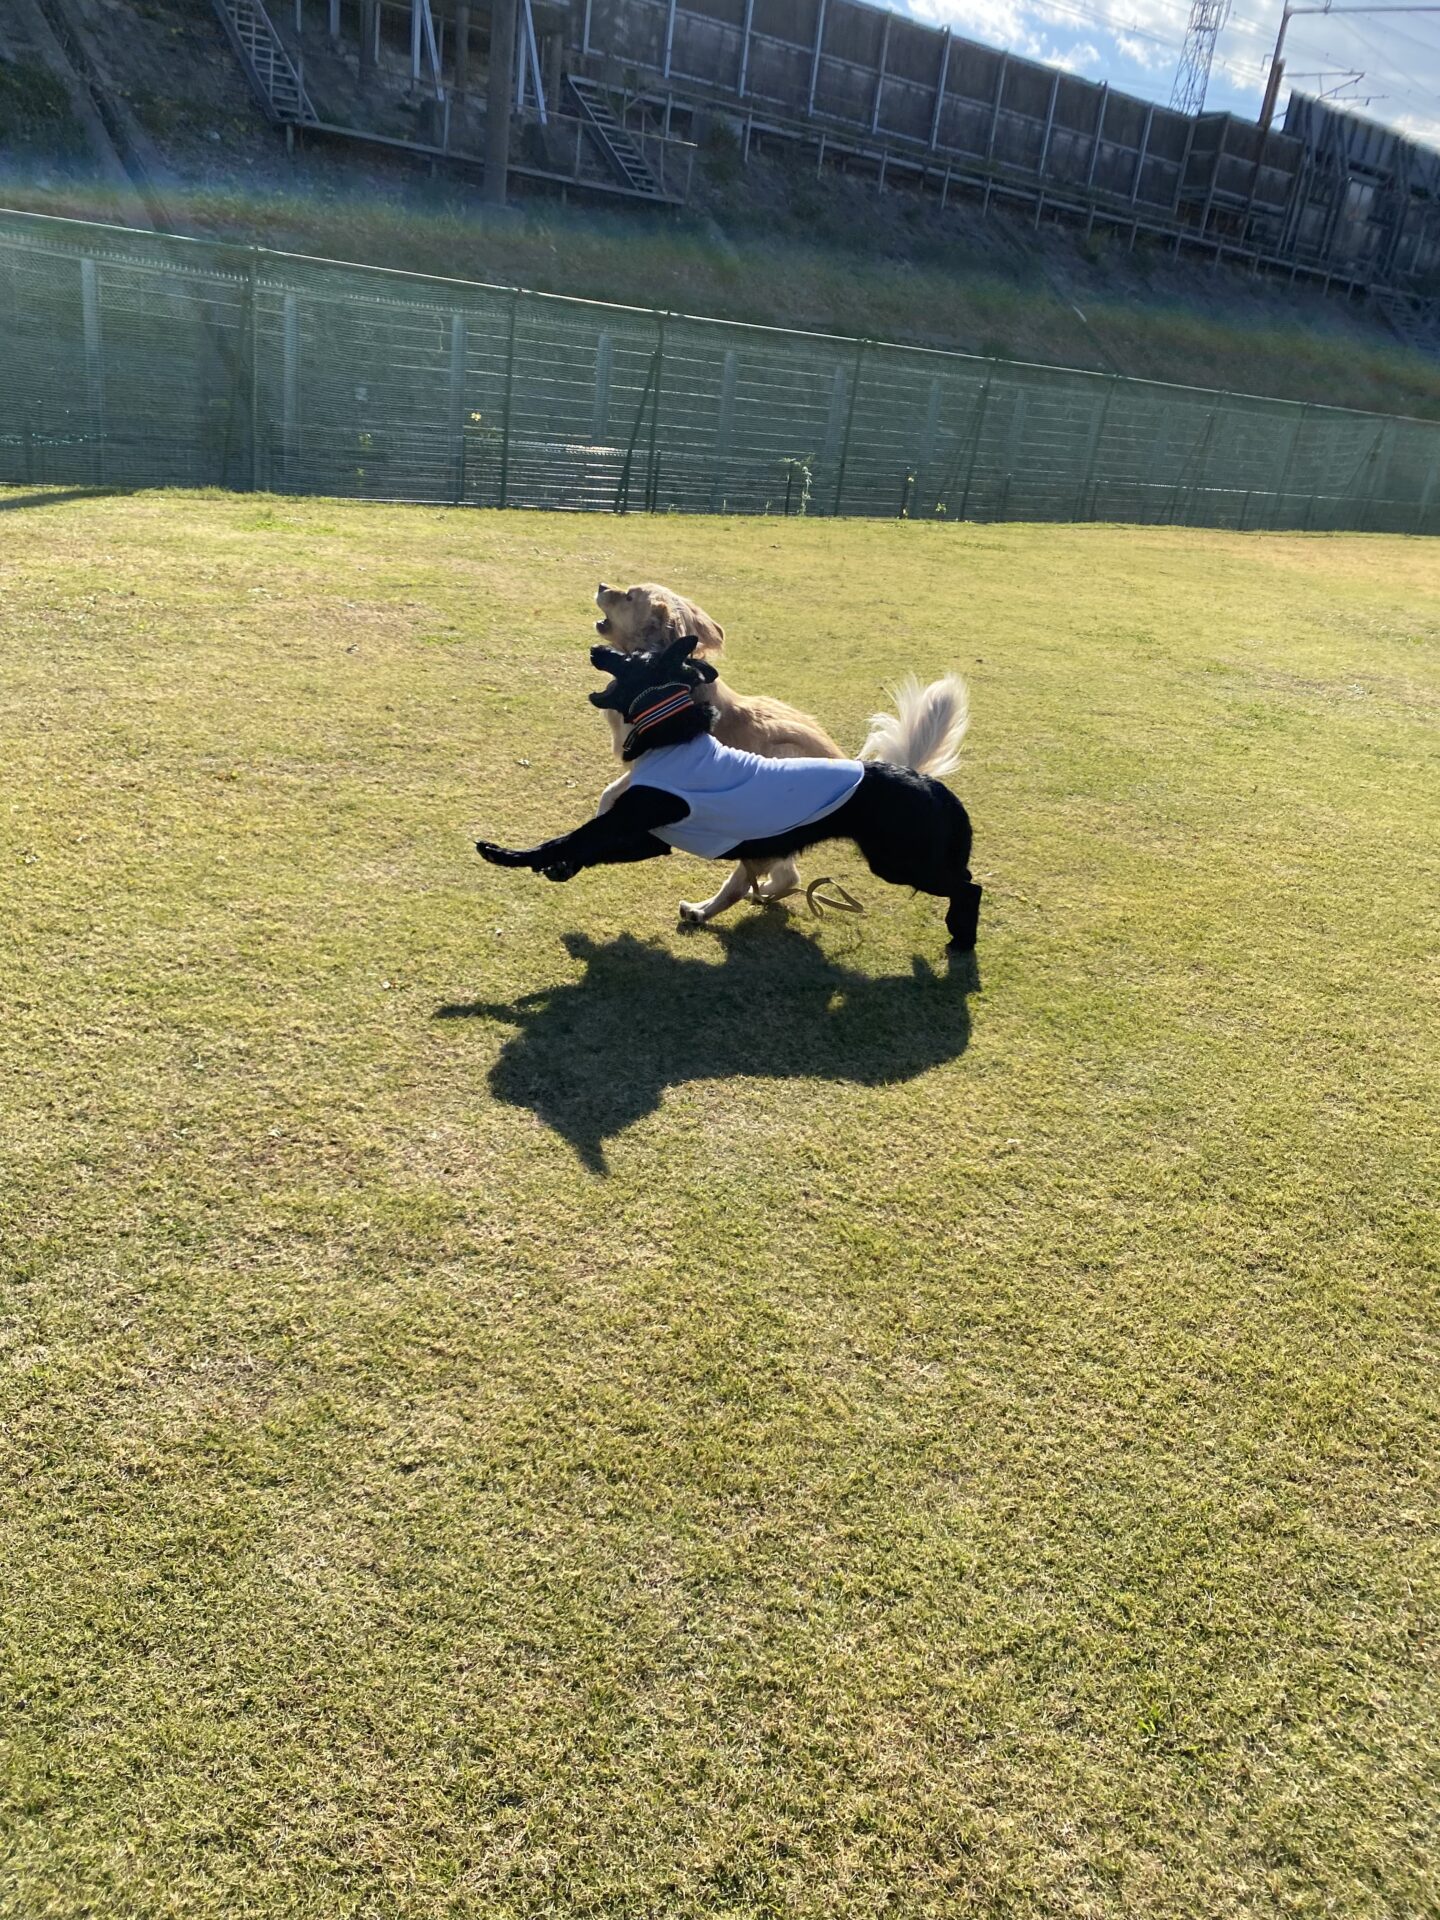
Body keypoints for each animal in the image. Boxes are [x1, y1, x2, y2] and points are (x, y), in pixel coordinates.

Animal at [477, 635, 981, 951]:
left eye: (635, 656)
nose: (596, 648)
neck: (672, 736)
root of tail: (927, 781)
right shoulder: (649, 839)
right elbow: (585, 846)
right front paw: (558, 867)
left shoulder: (633, 819)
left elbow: (568, 837)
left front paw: (504, 854)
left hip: (899, 863)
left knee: (969, 886)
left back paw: (961, 937)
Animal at [592, 581, 847, 922]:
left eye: (630, 596)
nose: (602, 585)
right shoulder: (642, 767)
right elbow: (609, 793)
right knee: (785, 875)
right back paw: (764, 894)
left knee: (740, 883)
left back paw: (700, 912)